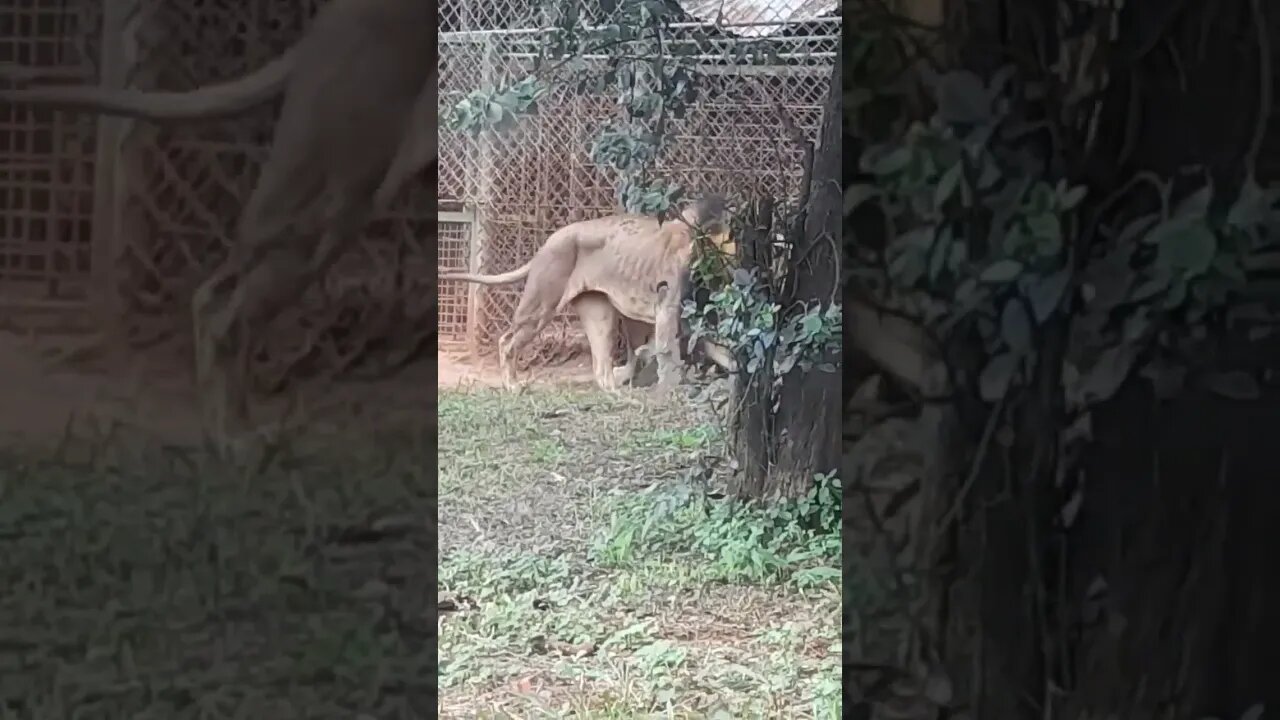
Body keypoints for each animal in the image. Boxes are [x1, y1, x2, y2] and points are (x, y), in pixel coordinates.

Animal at [442, 196, 737, 389]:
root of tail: (546, 243)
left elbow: (718, 349)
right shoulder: (668, 305)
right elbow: (666, 351)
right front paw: (669, 390)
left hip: (599, 311)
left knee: (601, 367)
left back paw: (617, 390)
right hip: (542, 302)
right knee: (507, 341)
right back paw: (512, 385)